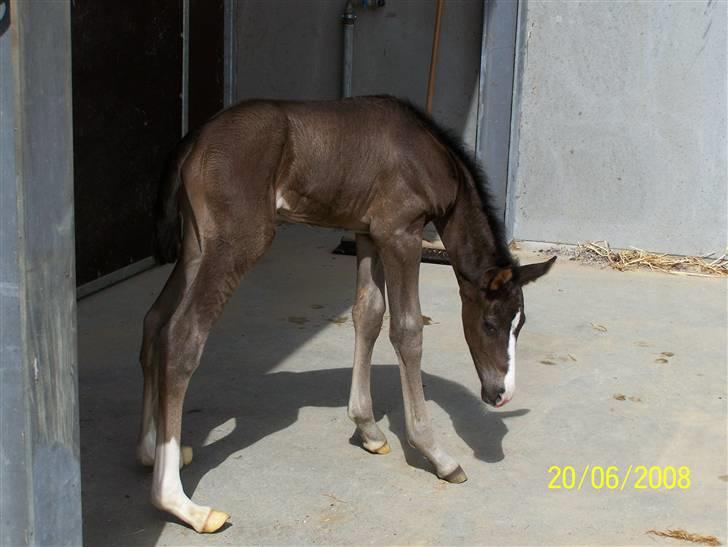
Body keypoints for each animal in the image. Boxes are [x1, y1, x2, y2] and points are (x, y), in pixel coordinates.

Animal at [139, 96, 556, 532]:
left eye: (520, 325)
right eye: (490, 324)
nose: (501, 393)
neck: (430, 155)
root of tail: (195, 138)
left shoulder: (368, 233)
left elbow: (368, 314)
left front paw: (368, 428)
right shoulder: (401, 233)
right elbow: (407, 330)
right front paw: (436, 454)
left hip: (195, 245)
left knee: (154, 322)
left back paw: (152, 452)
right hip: (237, 241)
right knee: (182, 336)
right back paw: (182, 504)